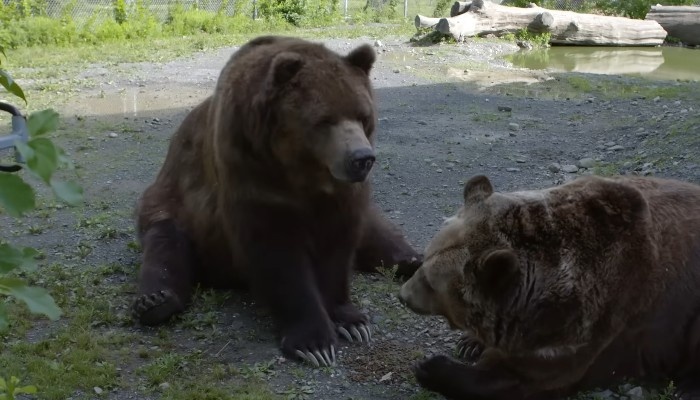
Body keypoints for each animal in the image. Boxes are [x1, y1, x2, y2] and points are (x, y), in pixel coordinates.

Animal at [130, 35, 423, 367]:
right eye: (325, 120)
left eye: (363, 116)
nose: (362, 159)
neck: (302, 173)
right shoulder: (252, 175)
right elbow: (278, 256)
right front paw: (314, 343)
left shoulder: (342, 197)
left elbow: (339, 246)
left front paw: (352, 321)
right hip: (174, 205)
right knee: (165, 246)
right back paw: (155, 301)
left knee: (379, 229)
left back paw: (414, 261)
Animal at [399, 173, 700, 400]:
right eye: (424, 261)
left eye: (430, 282)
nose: (402, 296)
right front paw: (469, 343)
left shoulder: (590, 323)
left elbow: (521, 377)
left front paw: (431, 367)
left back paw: (687, 388)